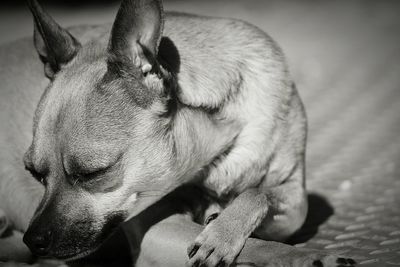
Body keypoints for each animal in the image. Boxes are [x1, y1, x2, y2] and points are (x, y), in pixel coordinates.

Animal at [0, 0, 356, 266]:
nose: (34, 240)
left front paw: (224, 228)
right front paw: (305, 257)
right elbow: (257, 242)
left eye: (94, 173)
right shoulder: (157, 227)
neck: (218, 152)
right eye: (34, 174)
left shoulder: (294, 197)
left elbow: (261, 193)